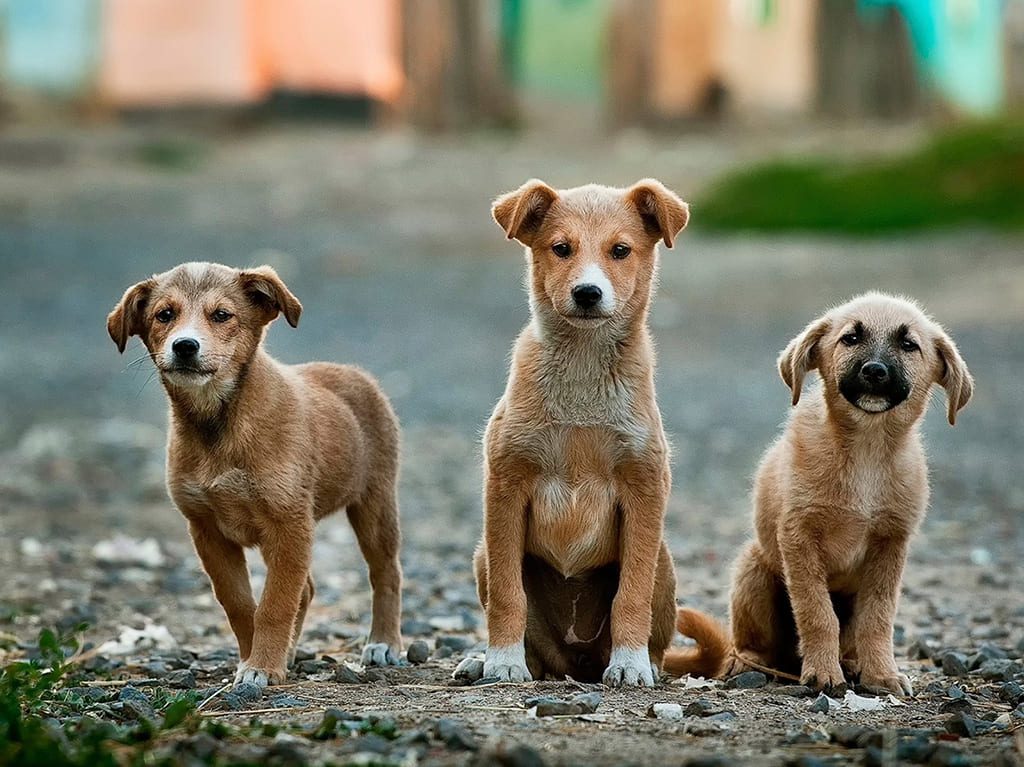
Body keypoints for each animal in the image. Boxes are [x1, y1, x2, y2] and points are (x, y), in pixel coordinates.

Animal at [107, 262, 403, 688]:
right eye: (164, 315)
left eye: (221, 315)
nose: (185, 346)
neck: (218, 424)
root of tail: (354, 373)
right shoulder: (207, 530)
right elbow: (240, 604)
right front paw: (255, 659)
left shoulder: (289, 524)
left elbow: (275, 604)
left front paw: (262, 665)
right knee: (307, 589)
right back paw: (291, 652)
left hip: (374, 504)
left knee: (385, 573)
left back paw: (383, 643)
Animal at [458, 181, 692, 688]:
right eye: (561, 248)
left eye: (620, 250)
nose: (587, 293)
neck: (583, 374)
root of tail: (576, 663)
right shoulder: (505, 486)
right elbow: (508, 594)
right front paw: (502, 661)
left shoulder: (645, 488)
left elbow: (631, 594)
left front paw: (630, 663)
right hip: (482, 553)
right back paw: (485, 661)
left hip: (664, 562)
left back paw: (644, 662)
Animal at [667, 290, 970, 692]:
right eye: (850, 338)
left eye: (909, 345)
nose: (875, 370)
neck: (866, 450)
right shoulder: (799, 537)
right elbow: (817, 612)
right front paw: (824, 673)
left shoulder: (890, 545)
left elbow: (878, 618)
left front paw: (881, 674)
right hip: (753, 569)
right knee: (750, 643)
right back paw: (749, 663)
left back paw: (852, 663)